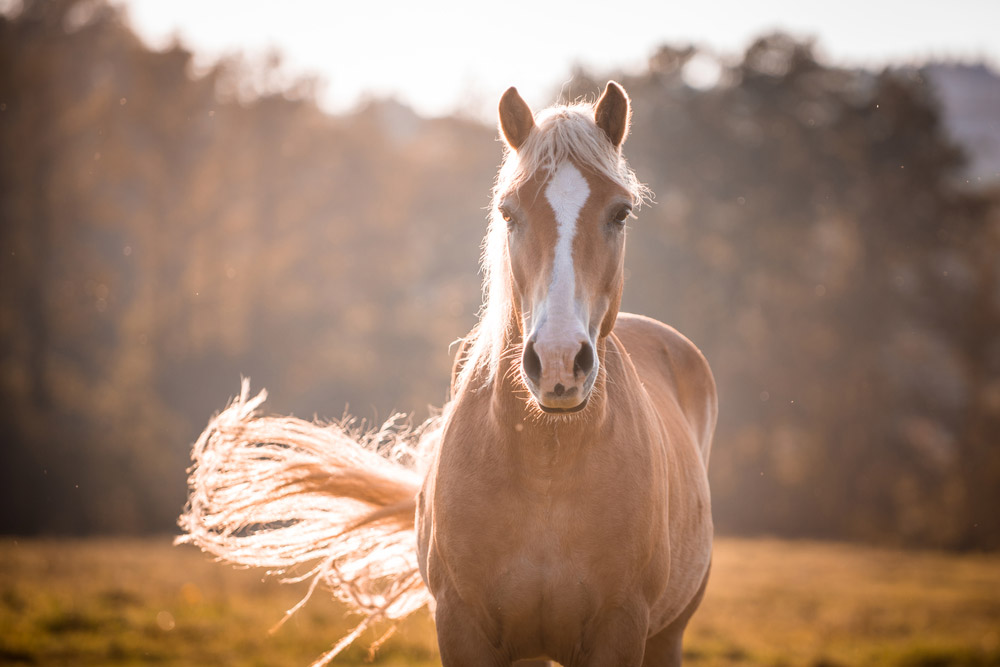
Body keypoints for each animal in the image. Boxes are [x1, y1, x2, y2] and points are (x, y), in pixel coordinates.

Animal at [176, 81, 716, 664]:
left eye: (620, 213)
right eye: (508, 212)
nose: (557, 362)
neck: (546, 470)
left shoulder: (620, 631)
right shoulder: (460, 626)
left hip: (666, 636)